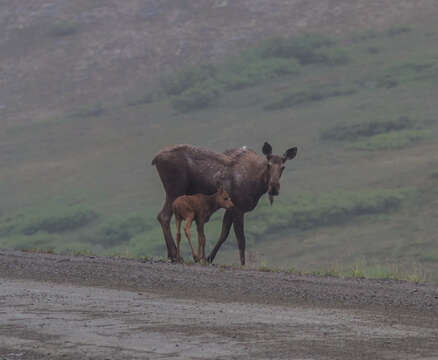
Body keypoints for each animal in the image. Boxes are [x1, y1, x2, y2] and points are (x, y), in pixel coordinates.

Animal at [151, 142, 298, 266]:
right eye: (268, 165)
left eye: (283, 167)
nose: (274, 188)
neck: (257, 185)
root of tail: (155, 158)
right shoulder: (238, 208)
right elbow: (241, 239)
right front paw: (242, 265)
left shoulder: (230, 209)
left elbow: (224, 234)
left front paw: (209, 258)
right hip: (175, 190)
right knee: (163, 216)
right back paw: (174, 255)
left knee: (161, 216)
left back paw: (171, 255)